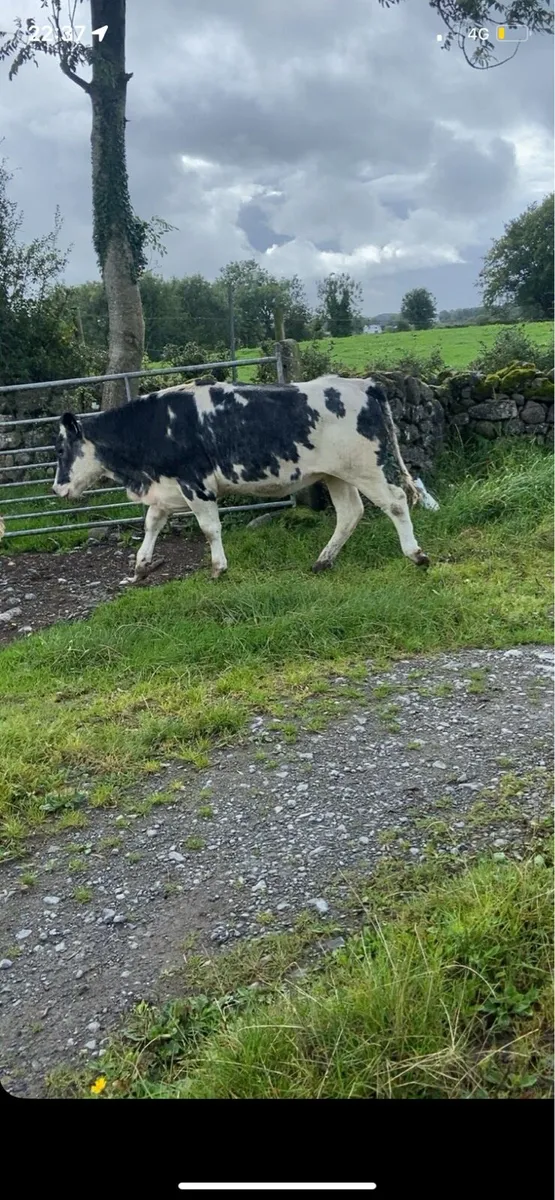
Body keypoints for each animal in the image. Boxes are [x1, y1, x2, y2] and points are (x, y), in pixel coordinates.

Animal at [53, 375, 438, 584]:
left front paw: (218, 568)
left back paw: (416, 554)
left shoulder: (197, 484)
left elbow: (209, 529)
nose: (57, 487)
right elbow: (151, 525)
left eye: (60, 448)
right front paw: (140, 566)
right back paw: (322, 561)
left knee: (395, 501)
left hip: (365, 468)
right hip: (336, 474)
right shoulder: (166, 489)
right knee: (350, 513)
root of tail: (363, 383)